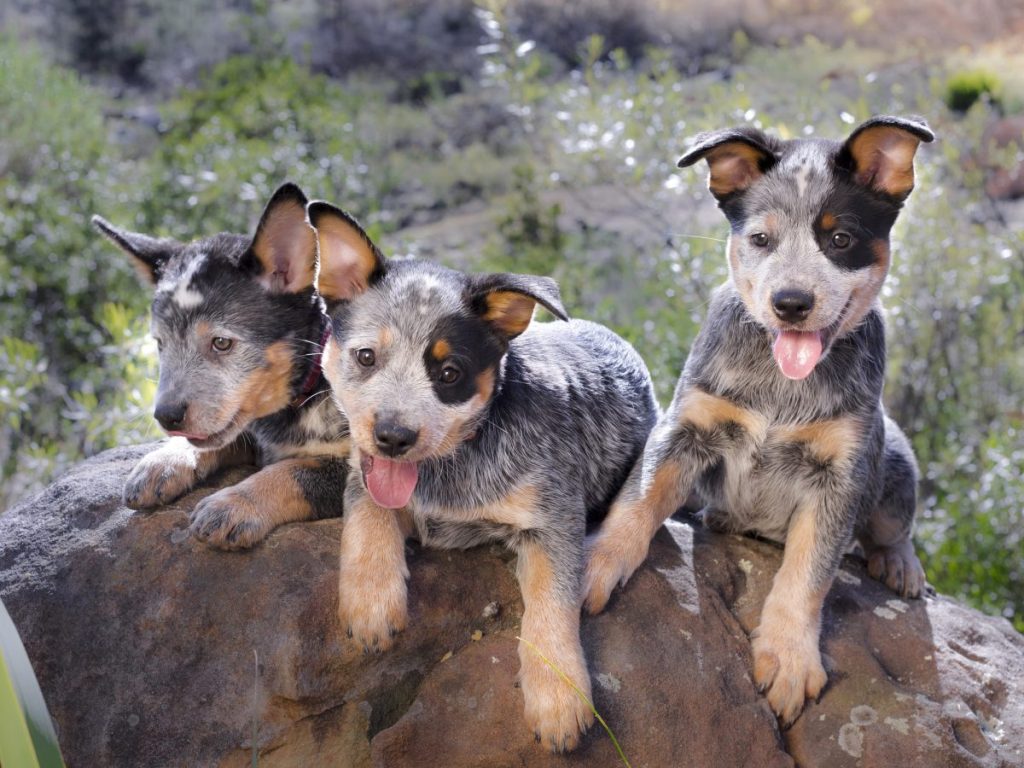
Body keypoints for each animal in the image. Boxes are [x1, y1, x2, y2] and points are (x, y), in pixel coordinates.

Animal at [96, 183, 352, 548]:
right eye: (160, 344)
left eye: (221, 343)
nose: (166, 417)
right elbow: (220, 438)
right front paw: (166, 460)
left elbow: (293, 470)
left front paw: (236, 503)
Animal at [307, 199, 655, 753]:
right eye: (365, 356)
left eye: (449, 373)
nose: (393, 437)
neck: (452, 466)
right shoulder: (367, 473)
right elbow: (368, 510)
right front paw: (371, 599)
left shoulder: (553, 516)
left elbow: (553, 600)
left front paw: (558, 697)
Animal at [581, 117, 933, 724]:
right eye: (760, 240)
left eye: (840, 240)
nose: (790, 302)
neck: (780, 385)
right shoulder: (685, 427)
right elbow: (638, 499)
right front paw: (589, 567)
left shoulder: (840, 474)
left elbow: (806, 572)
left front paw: (790, 657)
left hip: (893, 458)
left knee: (893, 525)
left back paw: (900, 564)